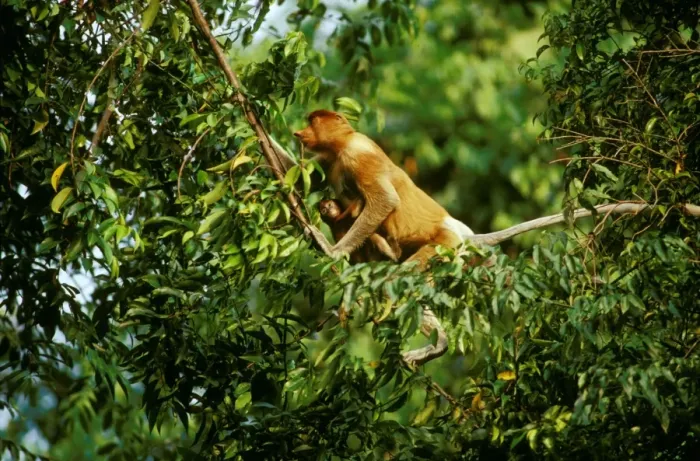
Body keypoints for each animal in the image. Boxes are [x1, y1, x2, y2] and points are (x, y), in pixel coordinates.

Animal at [269, 110, 475, 367]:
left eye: (312, 122)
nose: (299, 133)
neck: (342, 144)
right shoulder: (328, 159)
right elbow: (295, 178)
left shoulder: (357, 154)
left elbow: (385, 199)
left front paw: (331, 250)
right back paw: (439, 345)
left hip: (444, 244)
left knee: (396, 280)